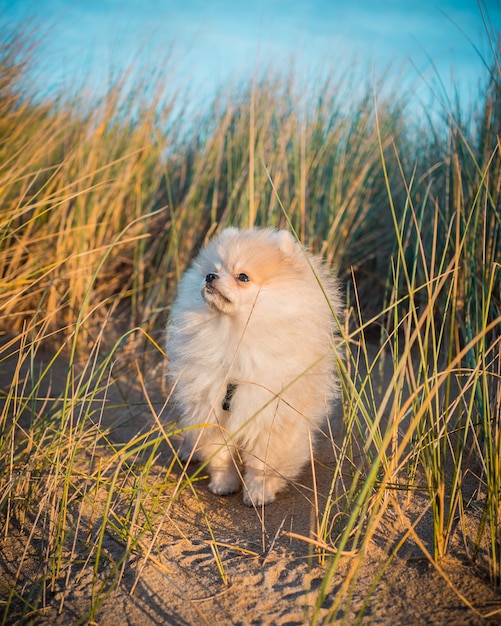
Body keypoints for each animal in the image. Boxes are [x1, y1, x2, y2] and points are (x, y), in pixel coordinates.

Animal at [166, 227, 342, 504]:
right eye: (214, 269)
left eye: (243, 277)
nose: (210, 276)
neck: (234, 336)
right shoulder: (212, 407)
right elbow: (219, 455)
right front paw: (223, 484)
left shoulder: (271, 415)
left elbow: (262, 465)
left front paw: (258, 493)